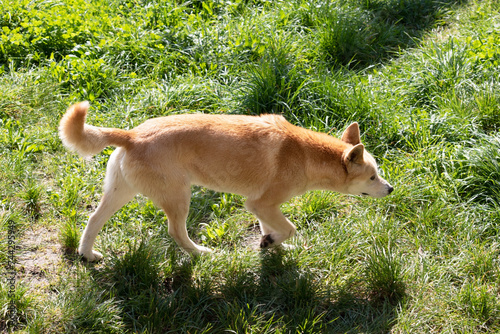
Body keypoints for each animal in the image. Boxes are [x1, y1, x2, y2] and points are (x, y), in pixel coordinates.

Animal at [59, 102, 394, 260]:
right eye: (373, 176)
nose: (391, 189)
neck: (303, 154)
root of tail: (131, 135)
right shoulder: (261, 202)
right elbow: (290, 228)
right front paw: (274, 243)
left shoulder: (261, 207)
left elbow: (273, 230)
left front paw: (272, 246)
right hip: (179, 197)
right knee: (176, 232)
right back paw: (200, 254)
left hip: (121, 194)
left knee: (92, 221)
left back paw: (87, 255)